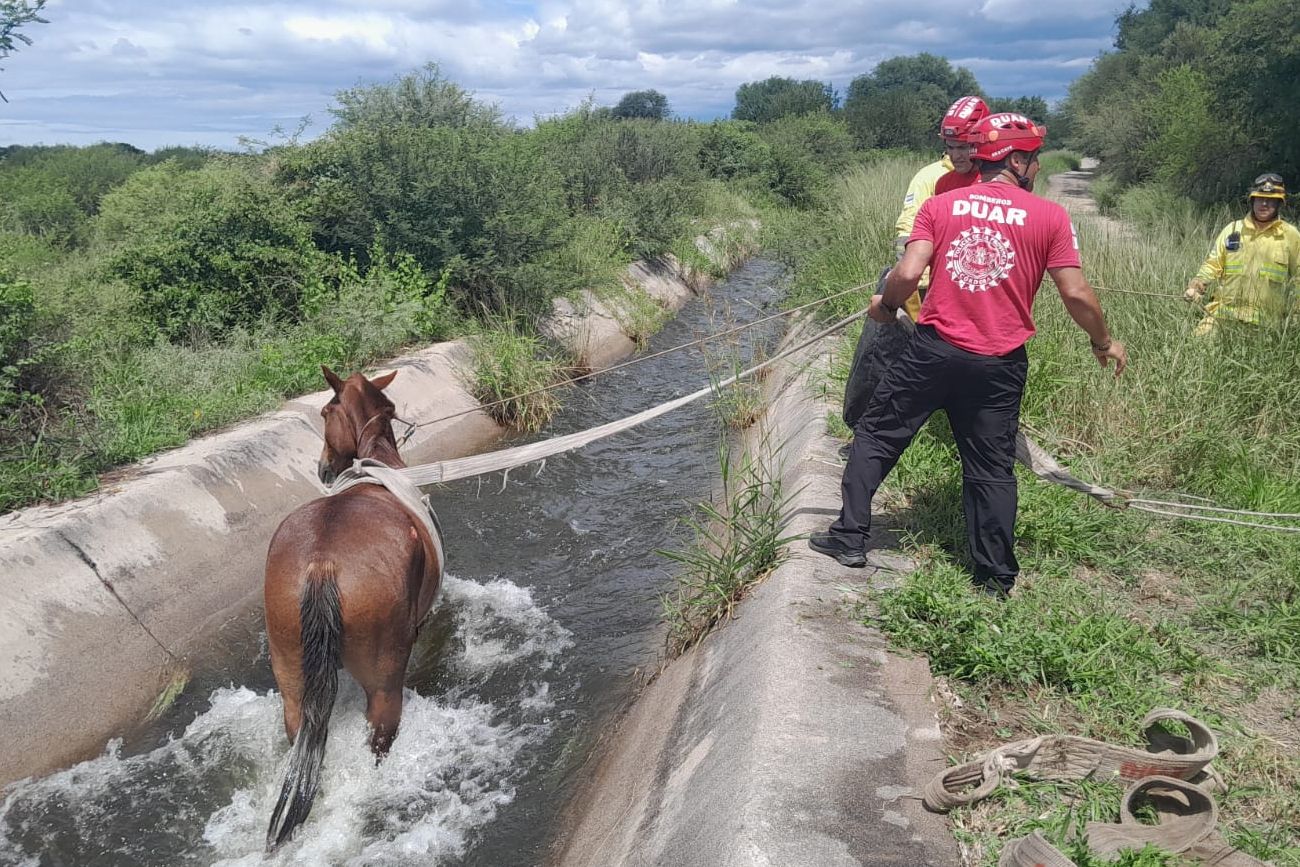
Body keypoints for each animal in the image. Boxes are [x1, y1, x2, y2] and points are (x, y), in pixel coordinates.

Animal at [262, 366, 443, 850]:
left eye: (324, 412)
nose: (323, 468)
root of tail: (322, 563)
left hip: (292, 680)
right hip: (383, 688)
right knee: (380, 737)